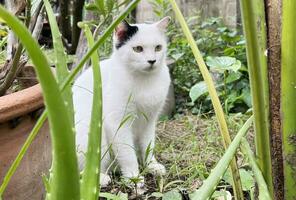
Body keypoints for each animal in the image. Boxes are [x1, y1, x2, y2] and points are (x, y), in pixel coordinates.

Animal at [73, 16, 171, 187]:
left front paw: (151, 166)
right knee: (85, 170)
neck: (145, 82)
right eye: (138, 49)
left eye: (158, 47)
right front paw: (133, 177)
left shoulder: (149, 121)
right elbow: (127, 153)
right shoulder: (118, 122)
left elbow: (148, 145)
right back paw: (100, 178)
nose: (152, 60)